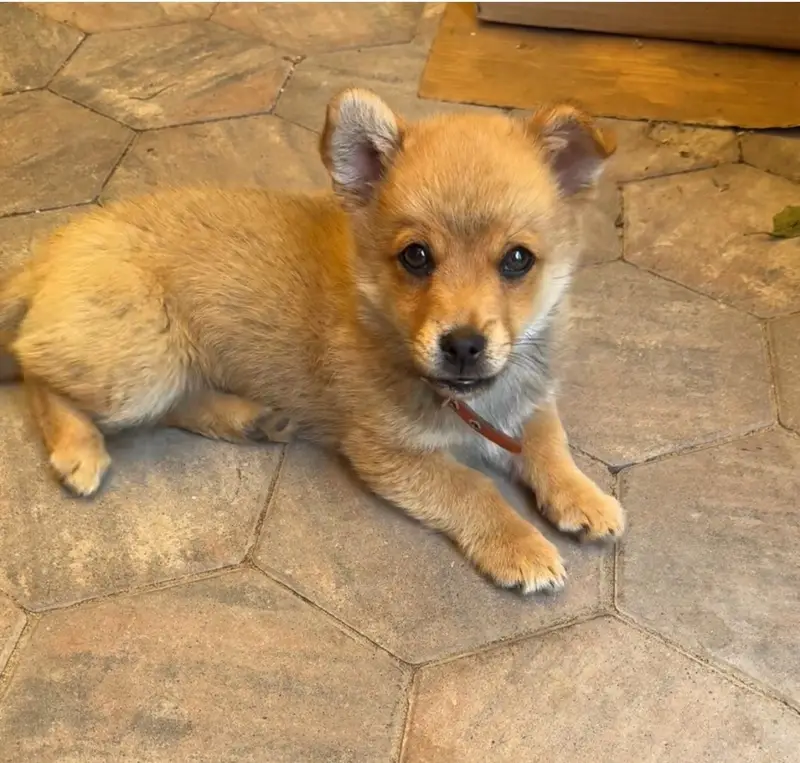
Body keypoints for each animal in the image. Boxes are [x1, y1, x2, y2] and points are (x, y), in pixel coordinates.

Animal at [0, 89, 624, 593]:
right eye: (416, 256)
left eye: (518, 259)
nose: (464, 345)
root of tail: (51, 252)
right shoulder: (385, 452)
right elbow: (472, 488)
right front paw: (520, 546)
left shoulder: (530, 399)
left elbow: (549, 442)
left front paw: (584, 497)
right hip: (139, 364)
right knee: (34, 369)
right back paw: (79, 448)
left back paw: (247, 420)